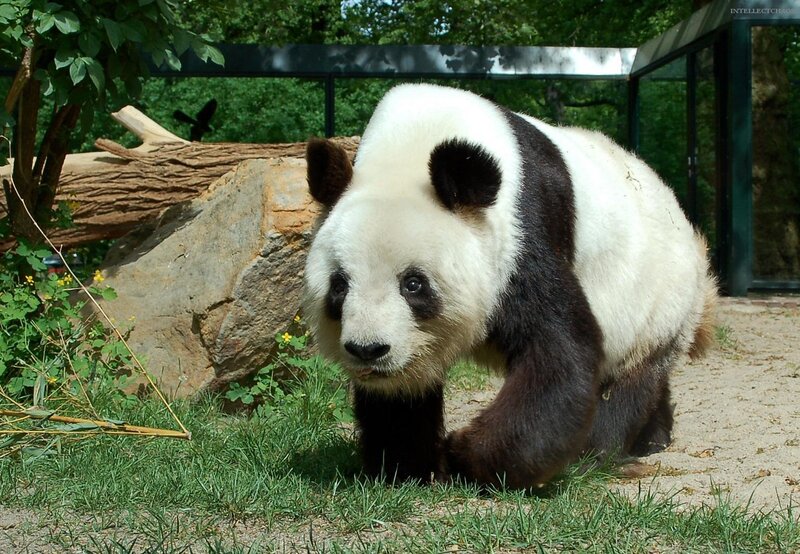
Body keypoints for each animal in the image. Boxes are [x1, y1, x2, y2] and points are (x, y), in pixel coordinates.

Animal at [302, 83, 717, 488]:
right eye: (339, 285)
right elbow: (401, 395)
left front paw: (467, 455)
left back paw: (598, 450)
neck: (411, 143)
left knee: (631, 377)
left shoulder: (520, 232)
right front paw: (410, 467)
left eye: (414, 284)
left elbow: (559, 351)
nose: (368, 350)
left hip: (657, 294)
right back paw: (653, 436)